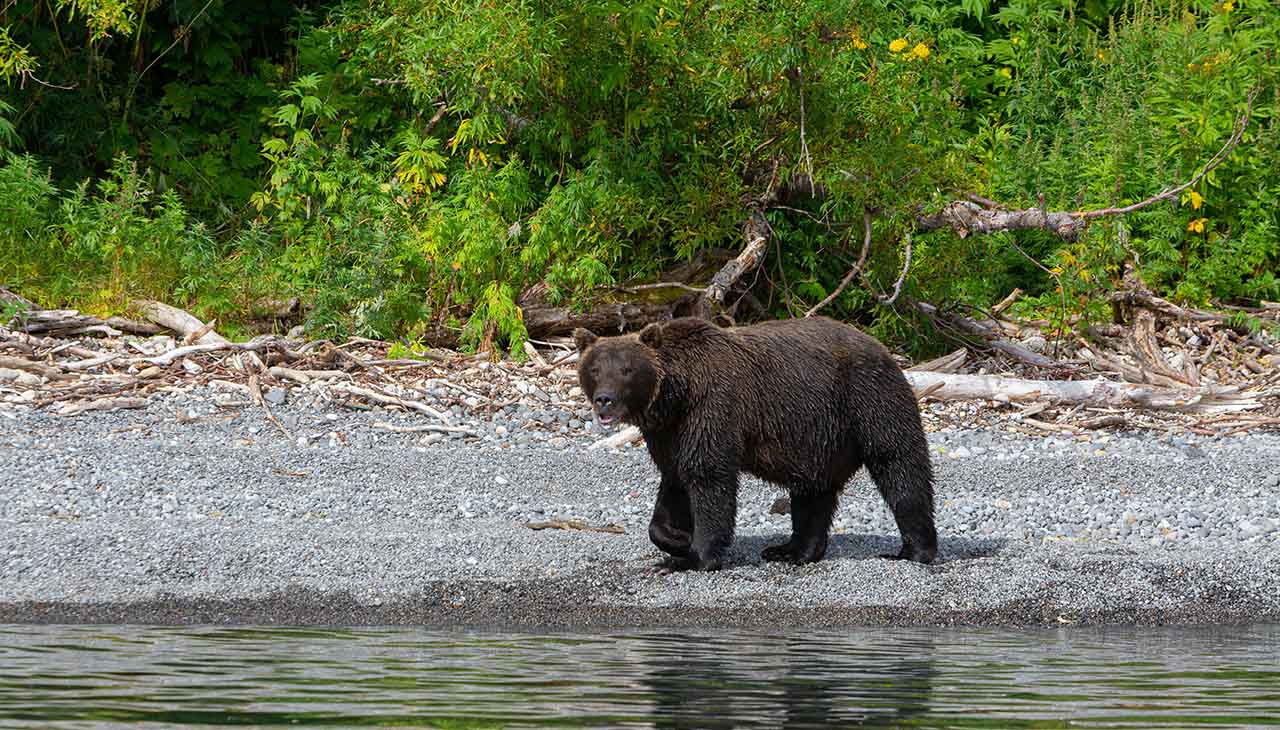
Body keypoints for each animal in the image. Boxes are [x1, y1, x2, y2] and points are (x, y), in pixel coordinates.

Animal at [576, 315, 936, 571]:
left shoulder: (713, 407)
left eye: (626, 369)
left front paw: (695, 557)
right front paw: (677, 540)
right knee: (812, 490)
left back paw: (913, 550)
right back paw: (792, 551)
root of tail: (884, 348)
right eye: (594, 368)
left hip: (869, 399)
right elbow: (674, 482)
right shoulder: (669, 433)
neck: (676, 396)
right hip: (817, 435)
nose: (605, 399)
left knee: (900, 467)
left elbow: (708, 477)